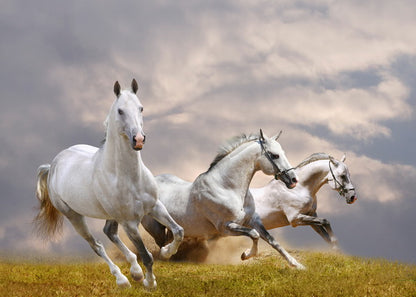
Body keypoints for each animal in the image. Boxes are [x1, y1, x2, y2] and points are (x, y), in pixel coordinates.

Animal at [35, 80, 184, 288]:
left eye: (141, 108)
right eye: (120, 110)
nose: (138, 139)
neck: (130, 178)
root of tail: (53, 165)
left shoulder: (155, 206)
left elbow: (179, 231)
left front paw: (166, 252)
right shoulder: (129, 223)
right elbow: (146, 256)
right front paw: (150, 283)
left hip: (110, 215)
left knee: (109, 232)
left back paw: (135, 272)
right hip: (74, 216)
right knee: (96, 245)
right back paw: (123, 279)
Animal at [143, 130, 306, 268]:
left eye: (282, 153)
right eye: (274, 155)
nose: (293, 180)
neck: (226, 187)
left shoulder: (253, 220)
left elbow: (272, 241)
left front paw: (297, 265)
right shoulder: (226, 227)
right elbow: (254, 234)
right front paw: (245, 255)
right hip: (155, 228)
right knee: (163, 242)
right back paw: (166, 254)